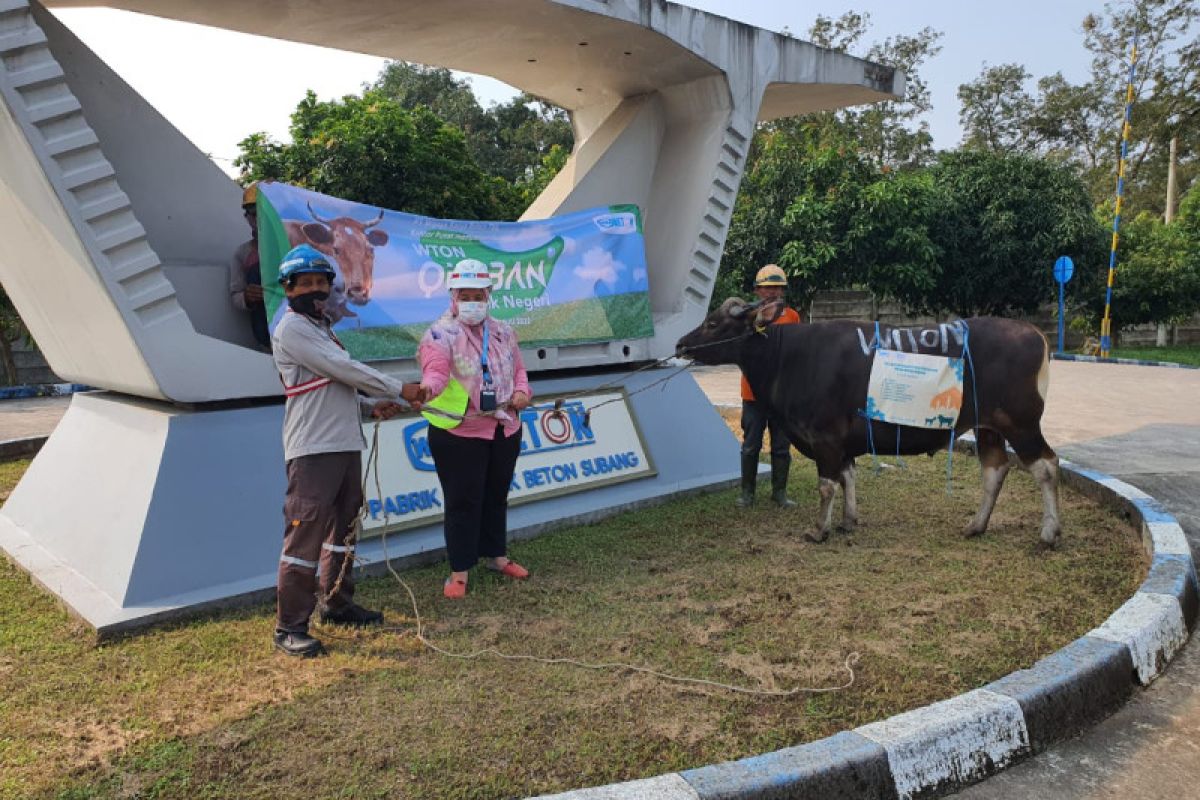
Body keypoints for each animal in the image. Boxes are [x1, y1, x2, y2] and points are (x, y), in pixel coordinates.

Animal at [676, 297, 1060, 546]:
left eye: (712, 322)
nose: (680, 343)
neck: (787, 356)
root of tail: (1035, 334)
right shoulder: (842, 443)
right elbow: (848, 478)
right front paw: (848, 522)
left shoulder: (825, 438)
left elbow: (827, 485)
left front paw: (819, 530)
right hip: (989, 428)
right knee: (995, 469)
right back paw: (975, 526)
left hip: (1022, 424)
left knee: (1046, 465)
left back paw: (1049, 533)